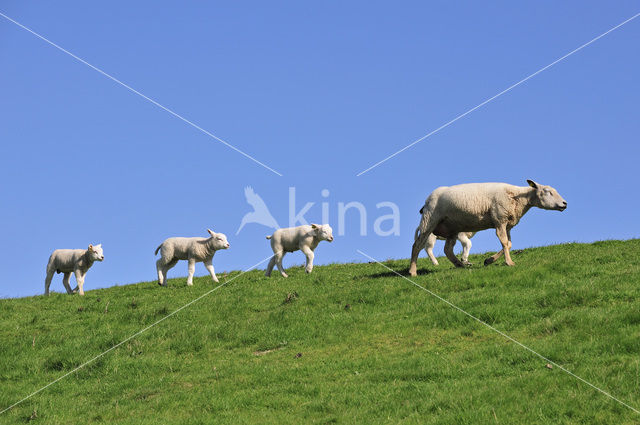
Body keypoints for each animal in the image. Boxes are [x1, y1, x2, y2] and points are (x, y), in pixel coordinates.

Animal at [410, 179, 564, 274]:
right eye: (547, 191)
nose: (565, 203)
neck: (518, 197)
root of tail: (426, 201)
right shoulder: (499, 220)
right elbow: (504, 242)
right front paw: (509, 262)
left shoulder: (507, 224)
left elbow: (509, 244)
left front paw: (489, 260)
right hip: (430, 220)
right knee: (417, 245)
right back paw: (413, 271)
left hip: (452, 227)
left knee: (447, 249)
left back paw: (461, 265)